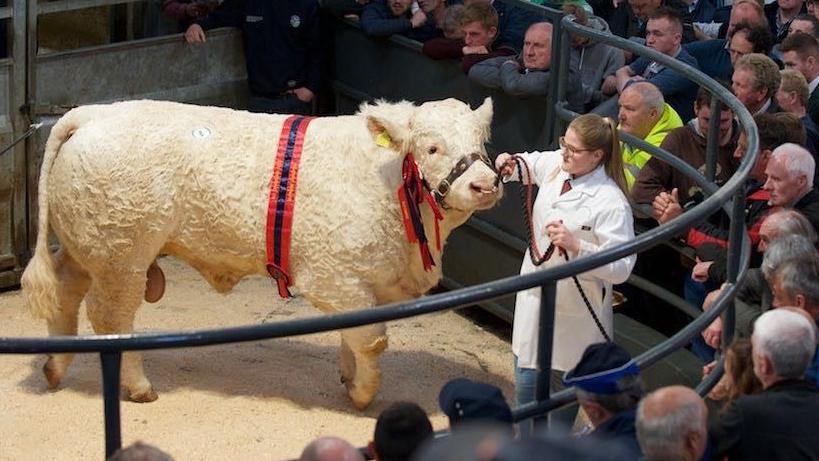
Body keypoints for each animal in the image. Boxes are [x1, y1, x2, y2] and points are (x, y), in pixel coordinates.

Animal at [22, 96, 502, 406]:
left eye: (482, 144)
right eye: (432, 147)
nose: (485, 184)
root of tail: (91, 113)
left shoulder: (368, 282)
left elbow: (353, 334)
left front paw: (348, 378)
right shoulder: (334, 277)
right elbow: (372, 340)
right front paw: (363, 395)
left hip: (87, 245)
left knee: (64, 289)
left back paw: (54, 368)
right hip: (121, 255)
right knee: (111, 317)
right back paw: (139, 387)